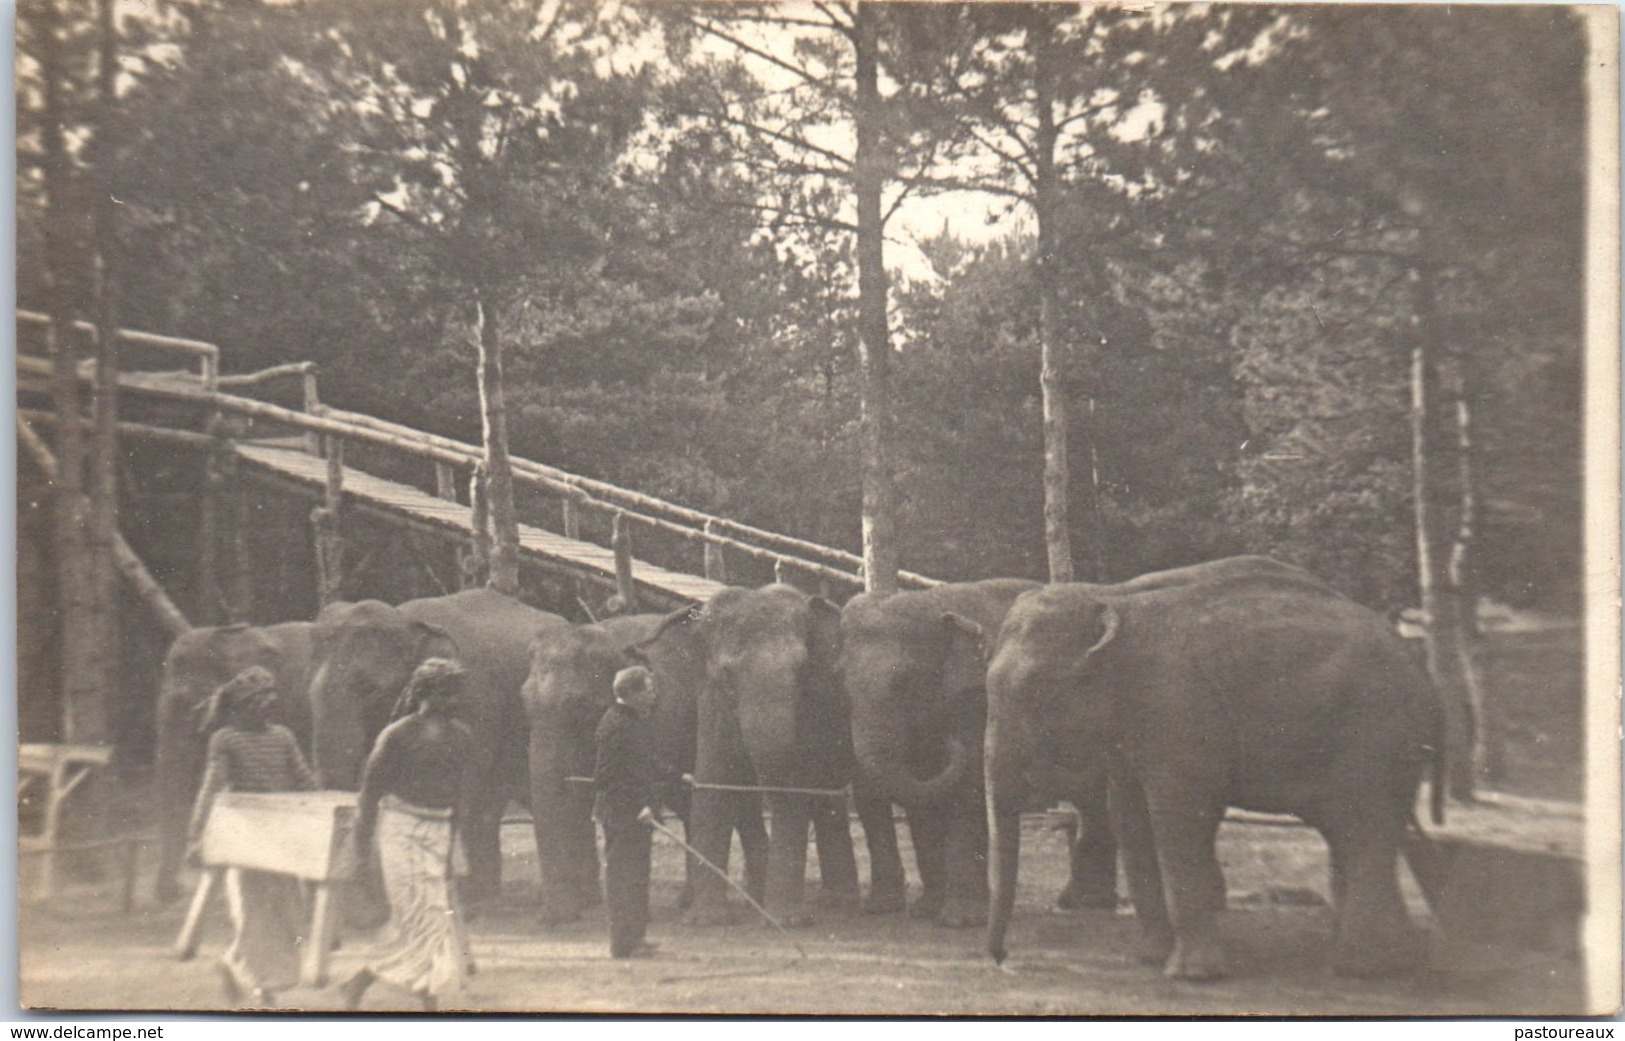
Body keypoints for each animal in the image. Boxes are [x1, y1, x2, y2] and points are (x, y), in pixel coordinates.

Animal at [633, 584, 910, 922]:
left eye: (801, 668)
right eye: (727, 673)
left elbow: (792, 789)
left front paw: (785, 920)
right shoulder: (713, 702)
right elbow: (713, 785)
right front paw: (707, 920)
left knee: (867, 797)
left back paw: (878, 906)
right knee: (827, 799)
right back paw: (833, 901)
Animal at [838, 578, 1118, 922]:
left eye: (903, 681)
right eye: (840, 682)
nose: (949, 743)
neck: (931, 600)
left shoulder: (978, 701)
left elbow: (967, 786)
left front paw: (960, 920)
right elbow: (922, 796)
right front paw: (925, 910)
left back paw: (1089, 901)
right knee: (1091, 799)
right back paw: (1083, 900)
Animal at [981, 555, 1443, 980]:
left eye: (1033, 689)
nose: (1003, 959)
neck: (1113, 598)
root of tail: (1419, 667)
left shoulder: (1177, 706)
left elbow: (1178, 818)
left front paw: (1190, 974)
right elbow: (1130, 816)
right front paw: (1149, 960)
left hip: (1376, 732)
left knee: (1362, 827)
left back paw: (1364, 968)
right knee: (1352, 831)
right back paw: (1383, 960)